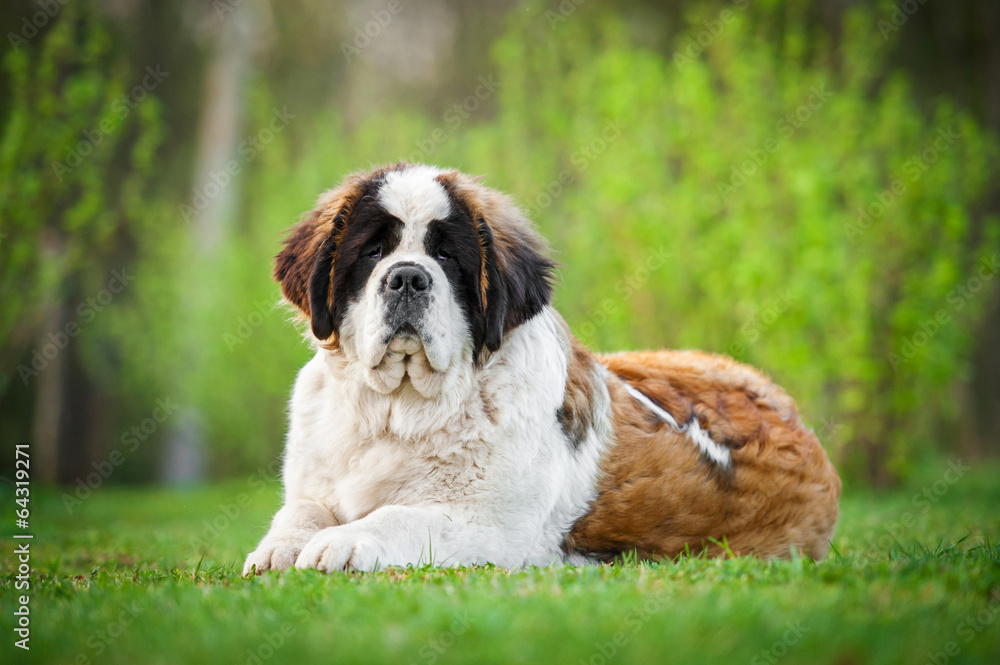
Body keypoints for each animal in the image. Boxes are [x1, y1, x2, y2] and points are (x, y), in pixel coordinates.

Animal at [240, 163, 836, 572]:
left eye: (448, 257)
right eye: (371, 253)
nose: (407, 277)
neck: (398, 411)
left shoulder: (490, 527)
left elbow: (400, 515)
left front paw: (342, 542)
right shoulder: (315, 484)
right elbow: (300, 511)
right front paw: (278, 549)